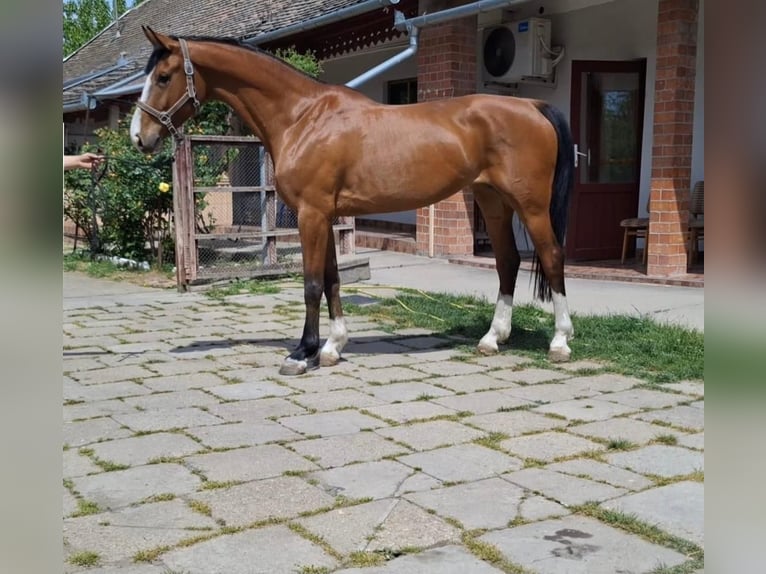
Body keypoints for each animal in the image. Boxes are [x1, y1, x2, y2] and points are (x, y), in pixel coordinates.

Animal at [131, 26, 575, 376]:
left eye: (164, 76)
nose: (139, 137)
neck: (302, 117)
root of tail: (532, 105)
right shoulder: (325, 215)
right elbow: (332, 279)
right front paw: (332, 347)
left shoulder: (311, 213)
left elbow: (311, 284)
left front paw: (301, 354)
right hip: (493, 201)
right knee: (508, 262)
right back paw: (492, 339)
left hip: (531, 206)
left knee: (553, 257)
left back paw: (559, 342)